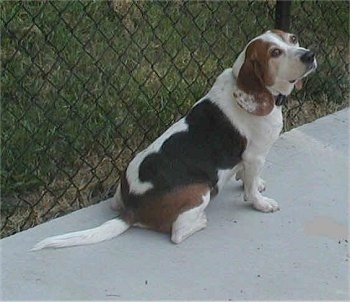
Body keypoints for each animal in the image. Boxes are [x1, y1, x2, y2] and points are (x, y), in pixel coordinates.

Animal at [32, 29, 318, 250]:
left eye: (292, 39)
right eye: (274, 53)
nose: (309, 55)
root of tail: (132, 208)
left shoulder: (248, 162)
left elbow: (247, 177)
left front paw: (253, 183)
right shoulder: (256, 156)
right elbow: (250, 189)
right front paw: (260, 202)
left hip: (120, 195)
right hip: (201, 191)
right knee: (177, 233)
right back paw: (200, 221)